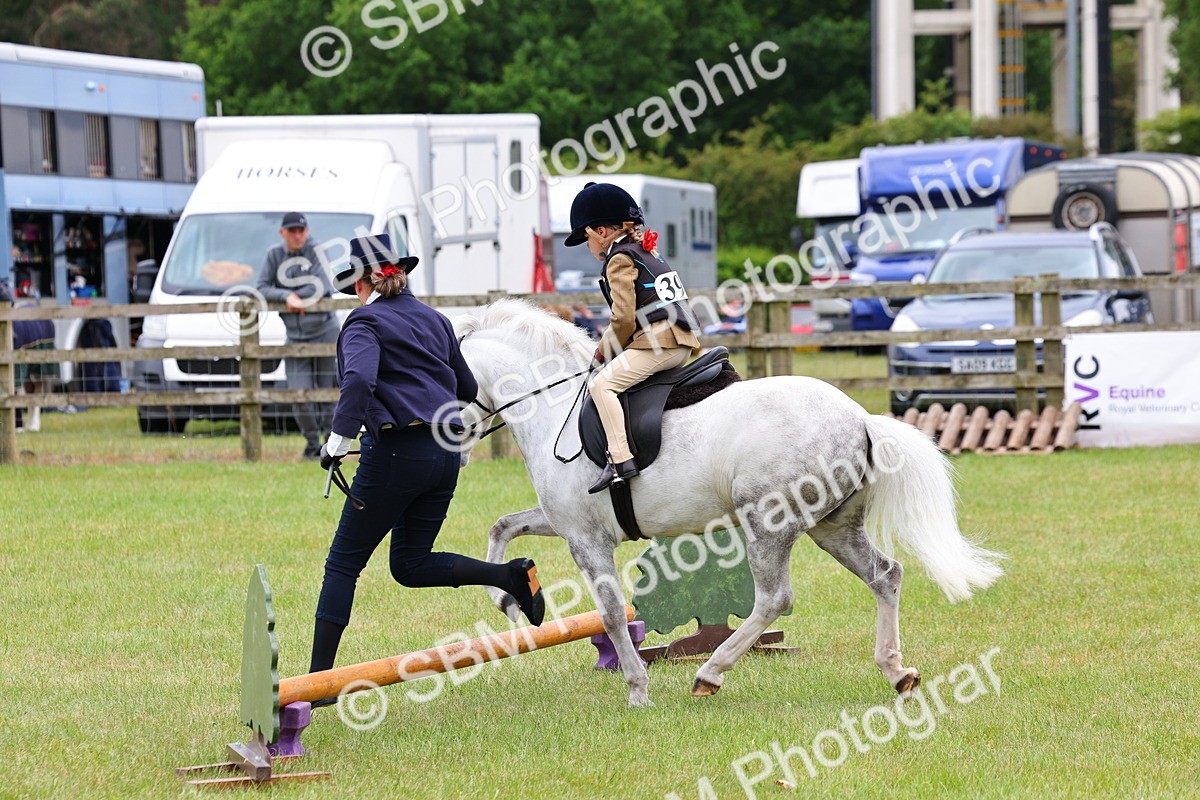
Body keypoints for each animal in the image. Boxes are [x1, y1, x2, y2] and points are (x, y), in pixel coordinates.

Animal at [452, 298, 1003, 707]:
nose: (451, 435)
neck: (551, 405)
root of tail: (861, 418)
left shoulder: (587, 539)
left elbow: (610, 616)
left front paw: (638, 692)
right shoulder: (566, 522)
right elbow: (504, 525)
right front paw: (507, 597)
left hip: (769, 524)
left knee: (774, 599)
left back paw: (710, 674)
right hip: (833, 526)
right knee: (885, 575)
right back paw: (896, 671)